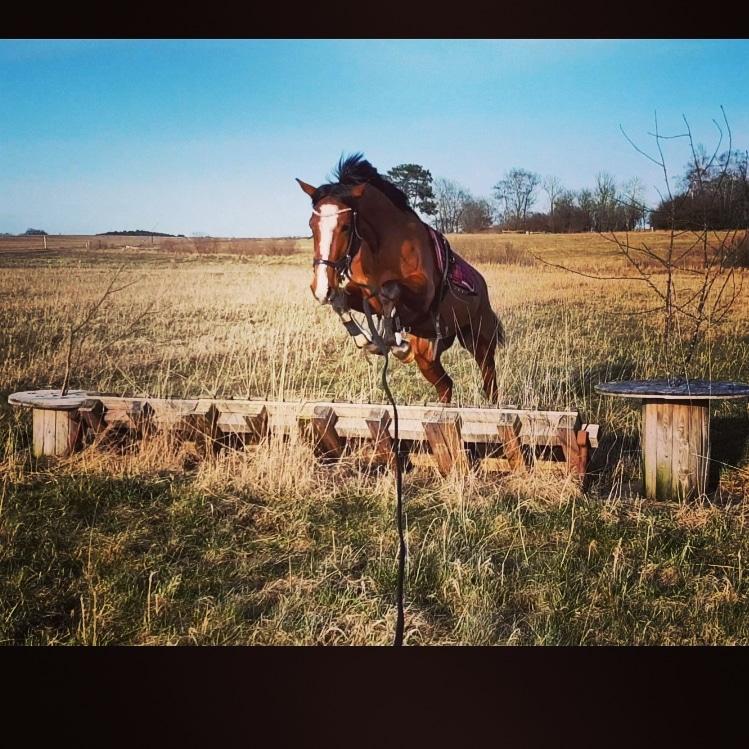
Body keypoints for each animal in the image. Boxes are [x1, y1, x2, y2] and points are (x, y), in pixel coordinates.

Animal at [296, 151, 502, 404]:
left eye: (345, 226)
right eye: (311, 225)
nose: (321, 287)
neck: (381, 248)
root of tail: (481, 285)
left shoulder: (422, 295)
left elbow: (390, 289)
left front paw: (389, 339)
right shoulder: (366, 297)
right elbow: (341, 300)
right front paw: (365, 340)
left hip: (479, 339)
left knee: (489, 380)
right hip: (427, 354)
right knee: (445, 385)